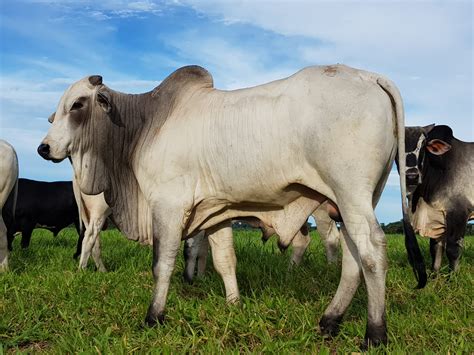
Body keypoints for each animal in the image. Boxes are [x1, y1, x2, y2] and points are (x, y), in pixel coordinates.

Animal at [39, 64, 412, 350]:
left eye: (77, 104)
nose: (44, 148)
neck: (144, 125)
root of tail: (369, 76)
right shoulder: (216, 212)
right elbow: (224, 261)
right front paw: (234, 304)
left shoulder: (168, 205)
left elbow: (162, 263)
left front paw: (154, 316)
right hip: (351, 203)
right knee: (352, 258)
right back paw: (330, 321)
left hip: (351, 194)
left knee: (372, 253)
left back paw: (375, 334)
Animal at [404, 125, 474, 284]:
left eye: (423, 145)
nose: (411, 176)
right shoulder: (437, 216)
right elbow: (436, 247)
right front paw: (433, 276)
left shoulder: (458, 213)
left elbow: (453, 249)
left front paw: (452, 279)